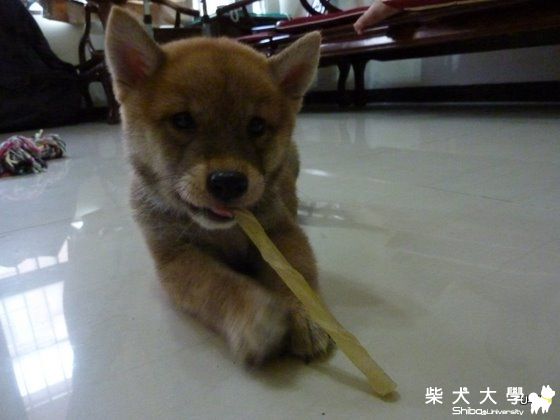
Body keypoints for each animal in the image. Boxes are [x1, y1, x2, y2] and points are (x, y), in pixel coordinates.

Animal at [105, 8, 332, 366]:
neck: (223, 233)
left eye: (256, 126)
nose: (229, 182)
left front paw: (306, 315)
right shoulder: (175, 258)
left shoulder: (279, 232)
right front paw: (255, 317)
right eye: (182, 120)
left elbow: (296, 277)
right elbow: (217, 284)